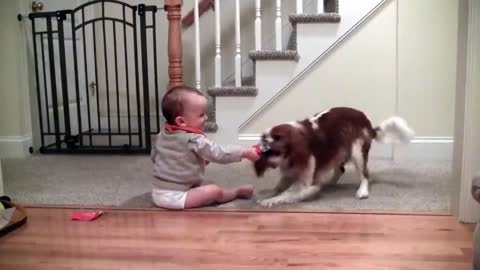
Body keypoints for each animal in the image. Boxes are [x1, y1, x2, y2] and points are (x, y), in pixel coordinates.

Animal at [253, 107, 414, 207]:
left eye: (277, 137)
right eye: (264, 136)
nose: (263, 138)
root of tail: (366, 121)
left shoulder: (304, 182)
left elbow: (287, 193)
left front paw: (270, 201)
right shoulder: (289, 173)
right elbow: (278, 187)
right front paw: (267, 195)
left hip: (357, 152)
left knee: (365, 175)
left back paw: (362, 191)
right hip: (338, 151)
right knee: (340, 170)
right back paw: (329, 183)